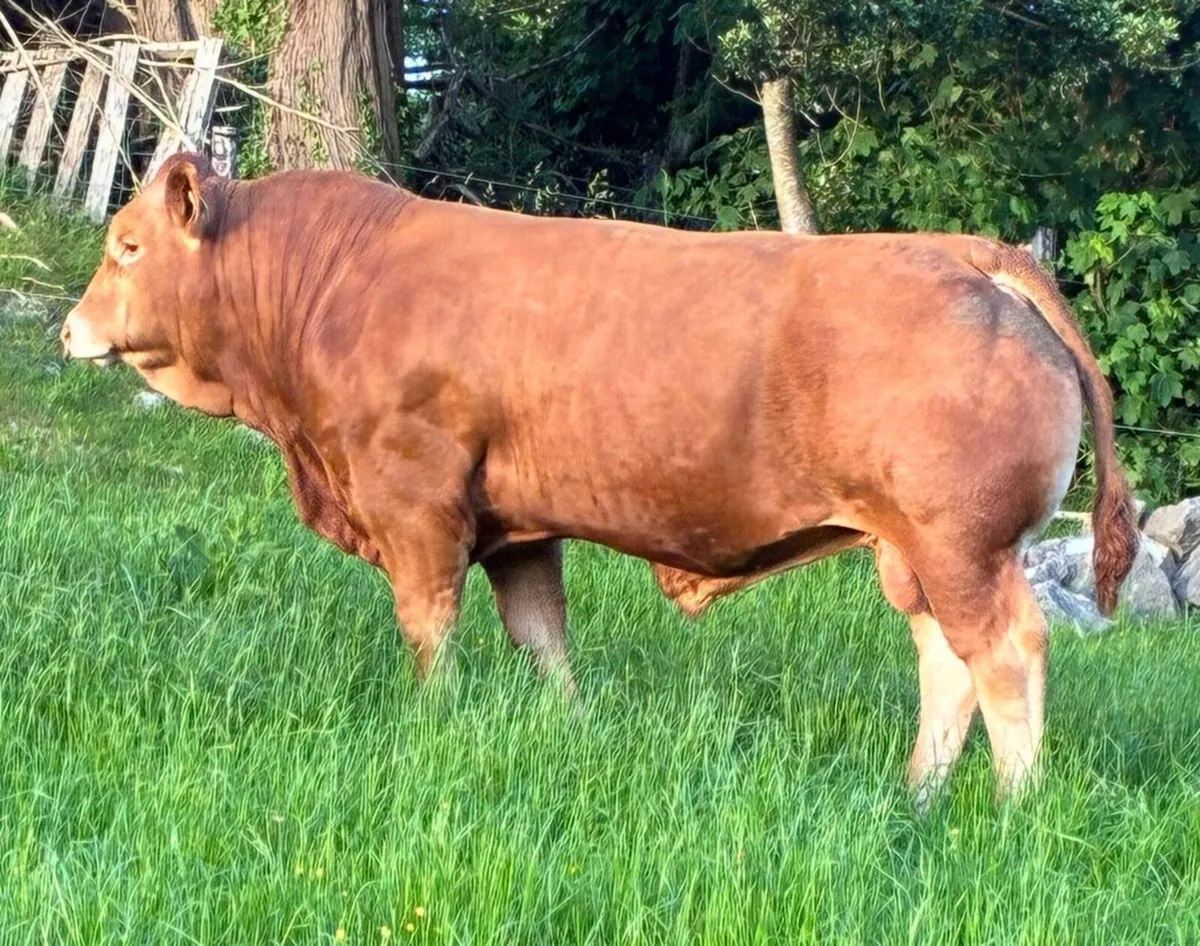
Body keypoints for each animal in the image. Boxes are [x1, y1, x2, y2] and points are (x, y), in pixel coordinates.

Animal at [60, 153, 1138, 803]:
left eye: (126, 245)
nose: (69, 328)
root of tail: (967, 252)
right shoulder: (520, 528)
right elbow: (544, 641)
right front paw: (565, 730)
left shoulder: (416, 504)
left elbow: (430, 629)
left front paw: (433, 723)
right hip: (911, 553)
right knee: (944, 662)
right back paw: (914, 796)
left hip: (964, 546)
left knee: (1005, 653)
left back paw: (1012, 804)